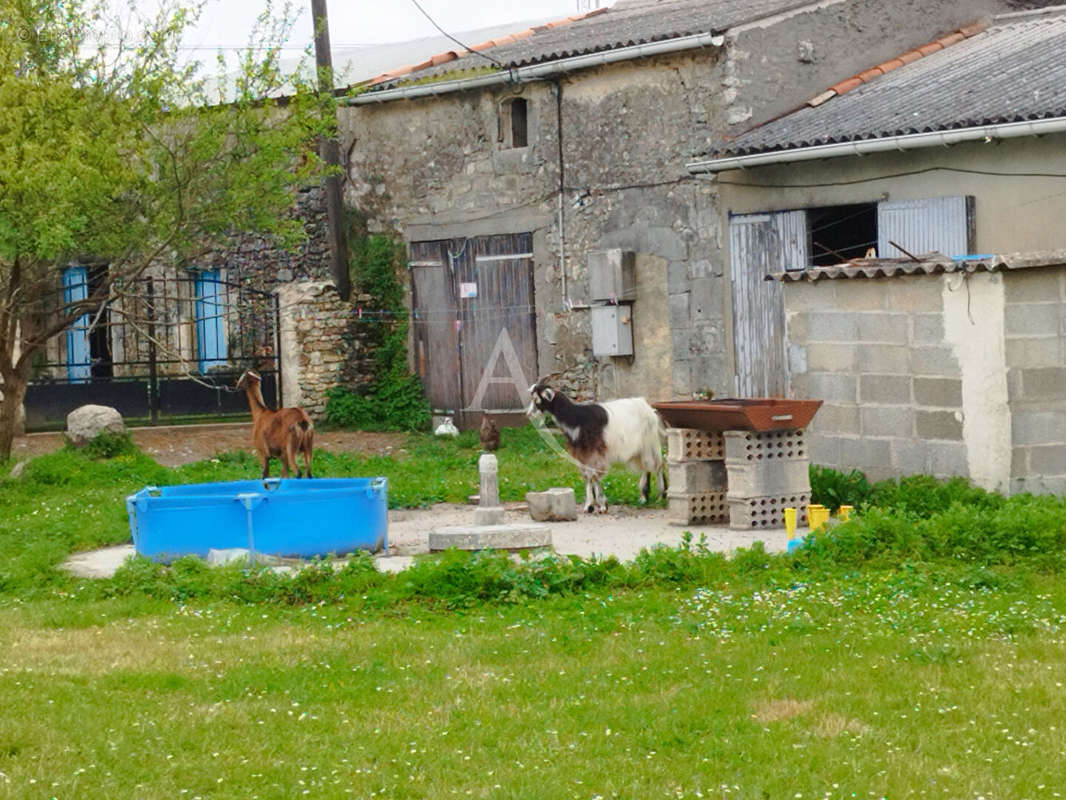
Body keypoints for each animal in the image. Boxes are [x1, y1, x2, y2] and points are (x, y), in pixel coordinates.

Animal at [526, 379, 660, 514]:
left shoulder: (595, 450)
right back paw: (645, 496)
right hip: (640, 447)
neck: (576, 418)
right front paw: (589, 505)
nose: (528, 414)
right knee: (646, 467)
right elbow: (587, 475)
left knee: (655, 465)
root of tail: (646, 405)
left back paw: (656, 495)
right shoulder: (582, 452)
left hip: (649, 442)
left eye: (537, 399)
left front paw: (601, 505)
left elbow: (593, 474)